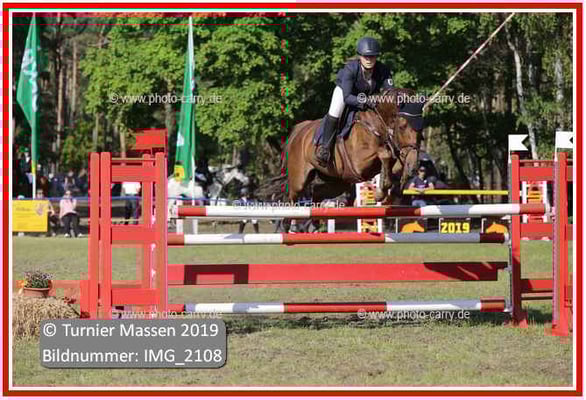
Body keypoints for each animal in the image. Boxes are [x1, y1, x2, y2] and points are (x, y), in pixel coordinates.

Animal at [285, 88, 421, 205]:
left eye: (421, 128)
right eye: (402, 127)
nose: (413, 167)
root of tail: (301, 130)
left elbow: (395, 163)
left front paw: (395, 188)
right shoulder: (359, 164)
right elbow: (385, 155)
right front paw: (379, 194)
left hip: (336, 181)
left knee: (317, 194)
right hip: (298, 182)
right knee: (291, 199)